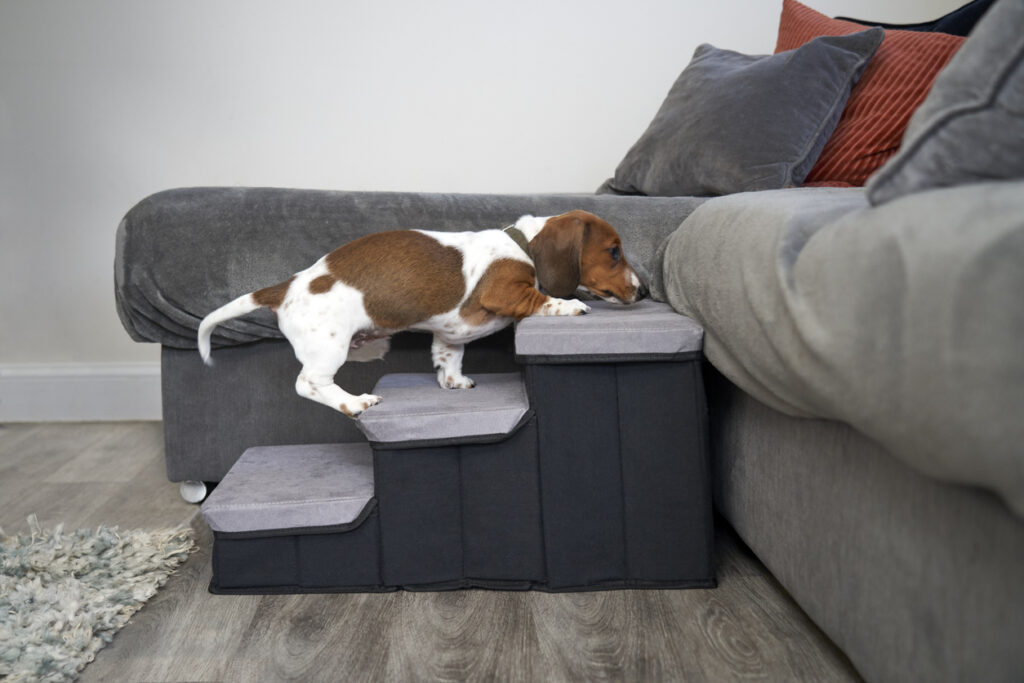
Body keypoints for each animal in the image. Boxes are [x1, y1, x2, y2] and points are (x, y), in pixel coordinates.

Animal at [196, 209, 643, 417]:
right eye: (614, 252)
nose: (644, 289)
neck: (522, 243)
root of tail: (286, 285)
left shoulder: (449, 334)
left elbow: (448, 356)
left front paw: (454, 380)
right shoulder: (506, 289)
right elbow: (540, 300)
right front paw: (570, 304)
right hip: (328, 348)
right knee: (308, 384)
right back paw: (354, 402)